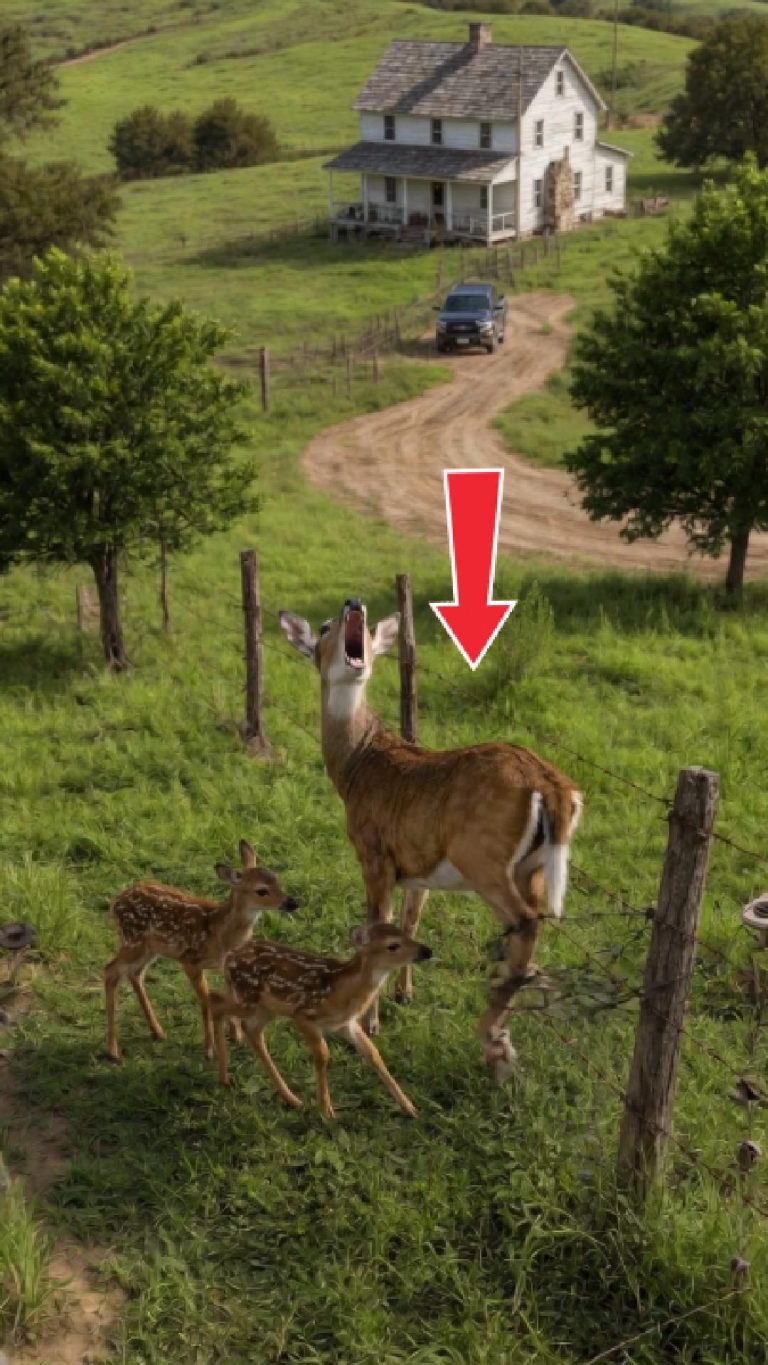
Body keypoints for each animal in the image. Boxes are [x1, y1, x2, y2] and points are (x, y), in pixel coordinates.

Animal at [104, 840, 299, 1064]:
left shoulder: (226, 966)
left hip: (149, 948)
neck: (220, 934)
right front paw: (210, 1050)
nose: (293, 903)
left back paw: (157, 1032)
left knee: (134, 974)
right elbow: (205, 1002)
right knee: (110, 970)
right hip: (132, 941)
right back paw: (113, 1050)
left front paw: (237, 1036)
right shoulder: (190, 960)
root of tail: (115, 902)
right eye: (261, 891)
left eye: (277, 880)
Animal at [210, 921, 432, 1118]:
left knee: (251, 1029)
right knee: (216, 1002)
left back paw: (290, 1098)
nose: (427, 951)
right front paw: (326, 1111)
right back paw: (224, 1077)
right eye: (393, 945)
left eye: (405, 934)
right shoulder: (304, 1015)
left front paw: (409, 1107)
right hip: (248, 998)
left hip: (264, 1007)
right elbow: (323, 1055)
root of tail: (229, 956)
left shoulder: (346, 1024)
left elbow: (373, 1053)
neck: (341, 990)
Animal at [278, 597, 583, 1083]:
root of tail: (553, 788)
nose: (354, 603)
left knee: (526, 922)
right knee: (534, 927)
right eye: (325, 628)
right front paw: (405, 994)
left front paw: (370, 1022)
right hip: (531, 867)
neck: (356, 766)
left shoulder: (374, 853)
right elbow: (410, 922)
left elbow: (377, 924)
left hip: (481, 856)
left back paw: (493, 1040)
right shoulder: (418, 868)